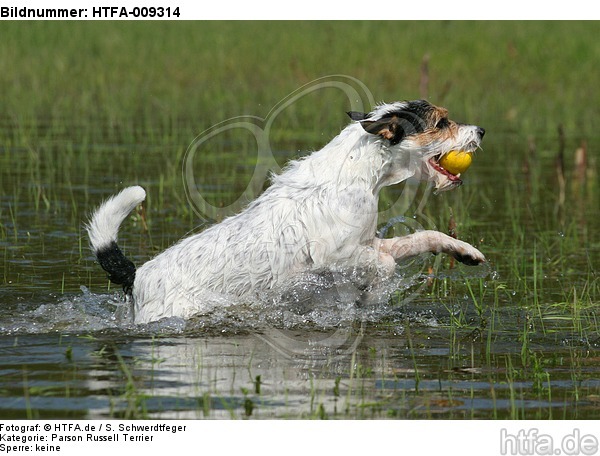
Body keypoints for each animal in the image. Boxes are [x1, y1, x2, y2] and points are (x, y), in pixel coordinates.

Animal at [88, 99, 482, 324]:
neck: (359, 171)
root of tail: (137, 276)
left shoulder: (368, 243)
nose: (481, 130)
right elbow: (382, 265)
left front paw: (465, 251)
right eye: (442, 123)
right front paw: (372, 294)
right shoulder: (336, 255)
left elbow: (423, 237)